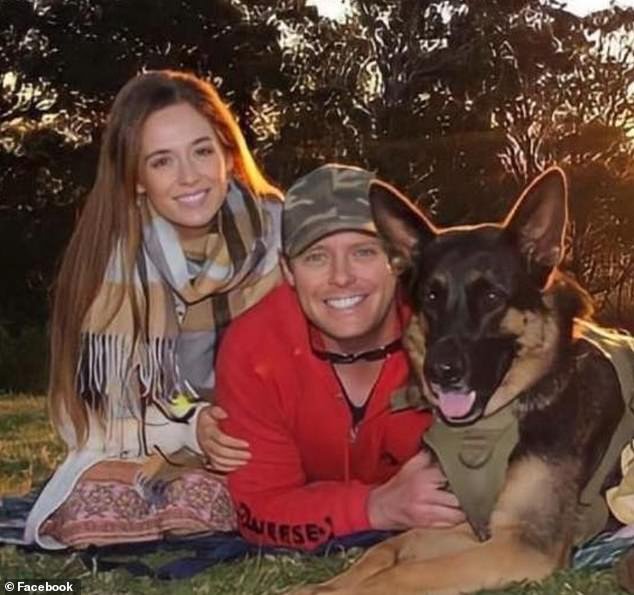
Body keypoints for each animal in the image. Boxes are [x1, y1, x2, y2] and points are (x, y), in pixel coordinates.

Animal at [293, 167, 634, 594]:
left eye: (491, 297)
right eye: (431, 297)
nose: (438, 372)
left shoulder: (523, 544)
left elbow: (402, 574)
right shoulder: (466, 524)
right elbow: (387, 548)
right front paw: (319, 586)